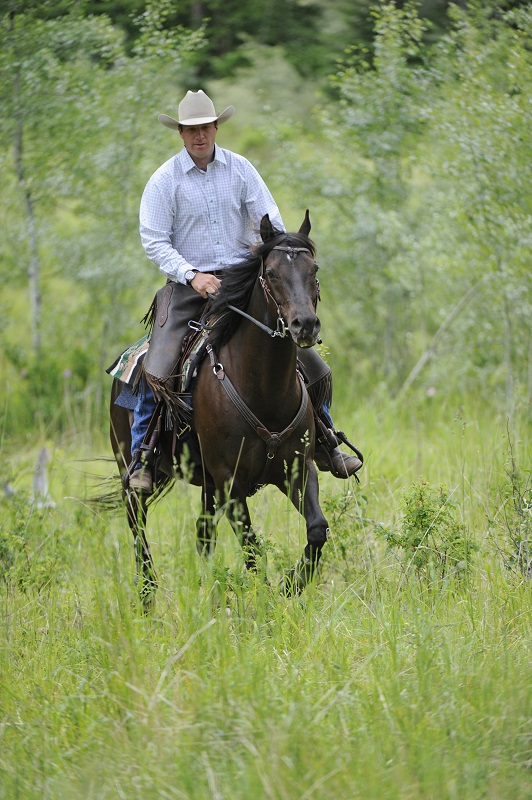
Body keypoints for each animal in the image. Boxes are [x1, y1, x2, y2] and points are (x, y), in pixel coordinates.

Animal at [109, 211, 329, 610]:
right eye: (271, 272)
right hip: (131, 470)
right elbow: (252, 547)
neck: (263, 389)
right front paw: (268, 599)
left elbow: (317, 530)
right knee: (137, 527)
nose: (304, 325)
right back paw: (147, 598)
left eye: (313, 268)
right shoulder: (230, 482)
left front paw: (291, 585)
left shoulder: (297, 469)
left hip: (208, 485)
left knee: (203, 534)